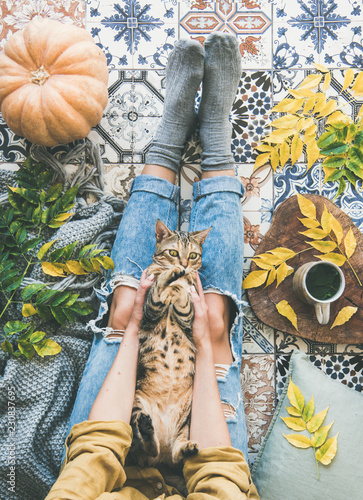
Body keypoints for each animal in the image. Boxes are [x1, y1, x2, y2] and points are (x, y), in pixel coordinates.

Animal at [129, 219, 212, 468]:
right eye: (173, 252)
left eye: (193, 255)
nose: (184, 264)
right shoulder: (149, 311)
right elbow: (158, 286)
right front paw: (170, 276)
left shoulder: (189, 319)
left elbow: (184, 297)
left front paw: (182, 283)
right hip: (137, 405)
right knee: (147, 447)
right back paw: (148, 431)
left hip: (188, 418)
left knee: (175, 451)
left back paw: (186, 448)